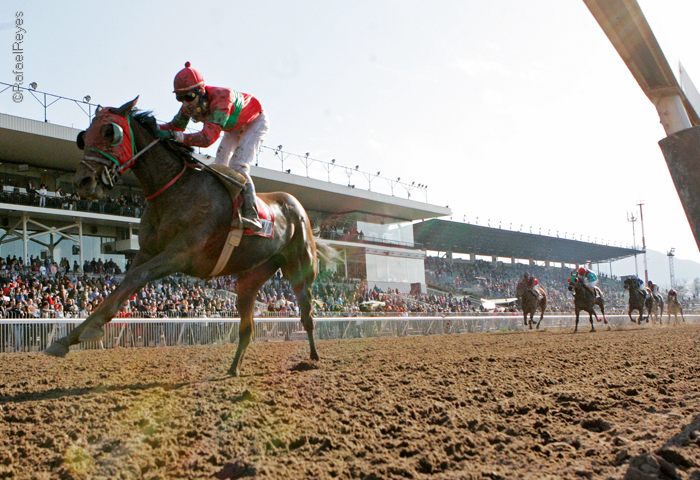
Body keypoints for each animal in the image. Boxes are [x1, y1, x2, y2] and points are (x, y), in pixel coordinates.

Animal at [44, 97, 335, 376]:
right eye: (84, 136)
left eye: (109, 132)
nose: (83, 181)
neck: (173, 190)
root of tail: (296, 205)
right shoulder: (146, 252)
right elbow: (122, 285)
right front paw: (67, 339)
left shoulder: (181, 254)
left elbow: (136, 278)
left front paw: (86, 332)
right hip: (251, 276)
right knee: (248, 326)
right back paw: (234, 367)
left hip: (300, 269)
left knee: (307, 314)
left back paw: (313, 358)